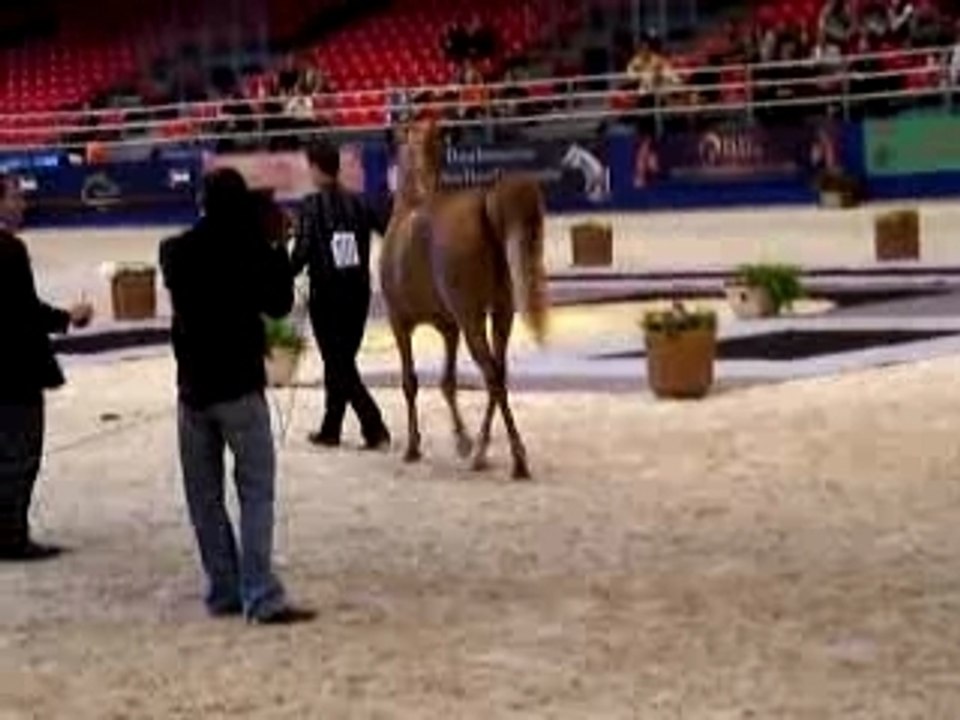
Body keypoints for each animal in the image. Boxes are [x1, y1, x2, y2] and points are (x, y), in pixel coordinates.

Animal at [380, 119, 549, 479]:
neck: (412, 203)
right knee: (499, 374)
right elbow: (448, 382)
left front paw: (413, 447)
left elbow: (410, 381)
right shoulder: (449, 327)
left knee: (492, 376)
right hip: (501, 313)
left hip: (472, 319)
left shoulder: (399, 322)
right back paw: (483, 451)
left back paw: (515, 459)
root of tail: (483, 204)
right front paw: (462, 441)